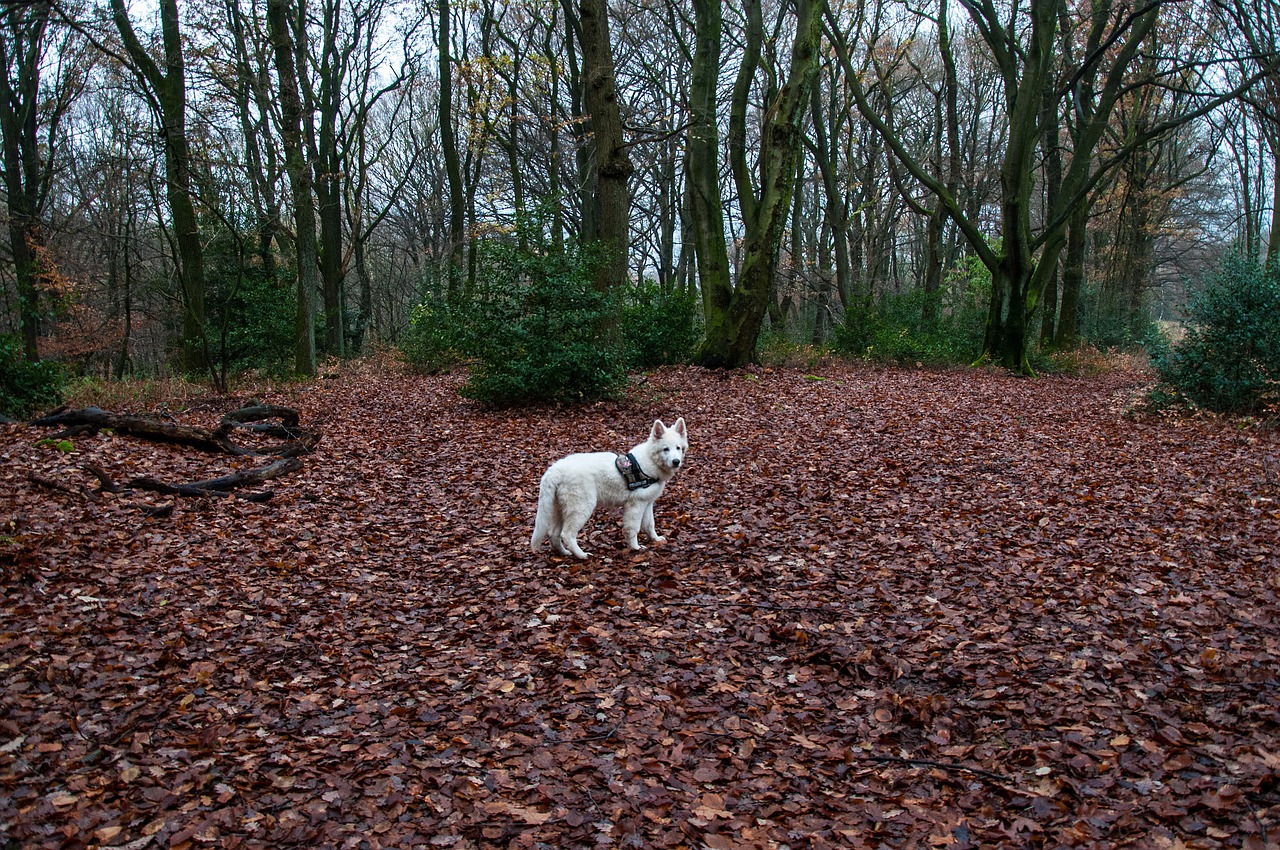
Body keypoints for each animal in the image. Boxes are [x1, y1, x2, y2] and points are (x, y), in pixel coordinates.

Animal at [529, 417, 691, 558]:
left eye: (678, 448)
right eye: (665, 449)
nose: (676, 462)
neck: (650, 461)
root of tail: (555, 470)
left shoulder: (647, 503)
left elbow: (649, 525)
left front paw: (655, 540)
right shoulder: (635, 504)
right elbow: (633, 528)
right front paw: (635, 548)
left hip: (561, 509)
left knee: (553, 534)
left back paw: (564, 553)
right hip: (582, 507)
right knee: (567, 535)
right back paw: (582, 555)